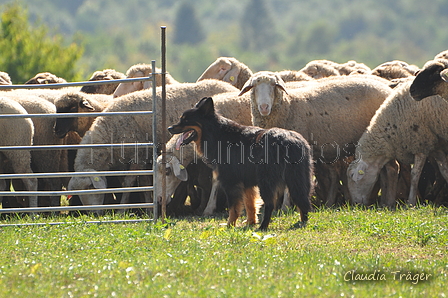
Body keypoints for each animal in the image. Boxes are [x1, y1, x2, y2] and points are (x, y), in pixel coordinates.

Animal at [167, 96, 312, 229]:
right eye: (181, 118)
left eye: (186, 120)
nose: (169, 128)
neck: (216, 133)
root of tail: (290, 140)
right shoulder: (246, 183)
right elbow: (250, 205)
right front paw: (250, 222)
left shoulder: (230, 182)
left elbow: (234, 208)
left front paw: (230, 225)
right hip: (298, 179)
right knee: (303, 201)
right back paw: (302, 223)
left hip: (266, 181)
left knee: (270, 205)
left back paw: (263, 227)